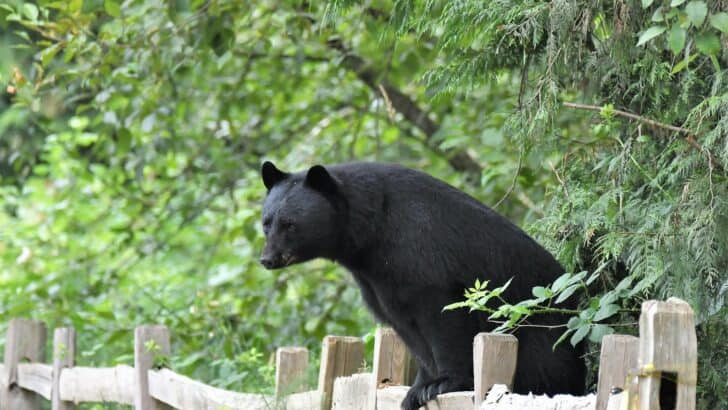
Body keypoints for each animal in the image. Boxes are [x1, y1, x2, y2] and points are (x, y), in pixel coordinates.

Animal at [259, 161, 585, 410]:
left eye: (290, 224)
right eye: (266, 223)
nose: (267, 259)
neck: (371, 234)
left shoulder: (423, 256)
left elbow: (443, 318)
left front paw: (444, 382)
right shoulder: (378, 281)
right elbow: (406, 329)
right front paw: (418, 388)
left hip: (542, 334)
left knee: (547, 370)